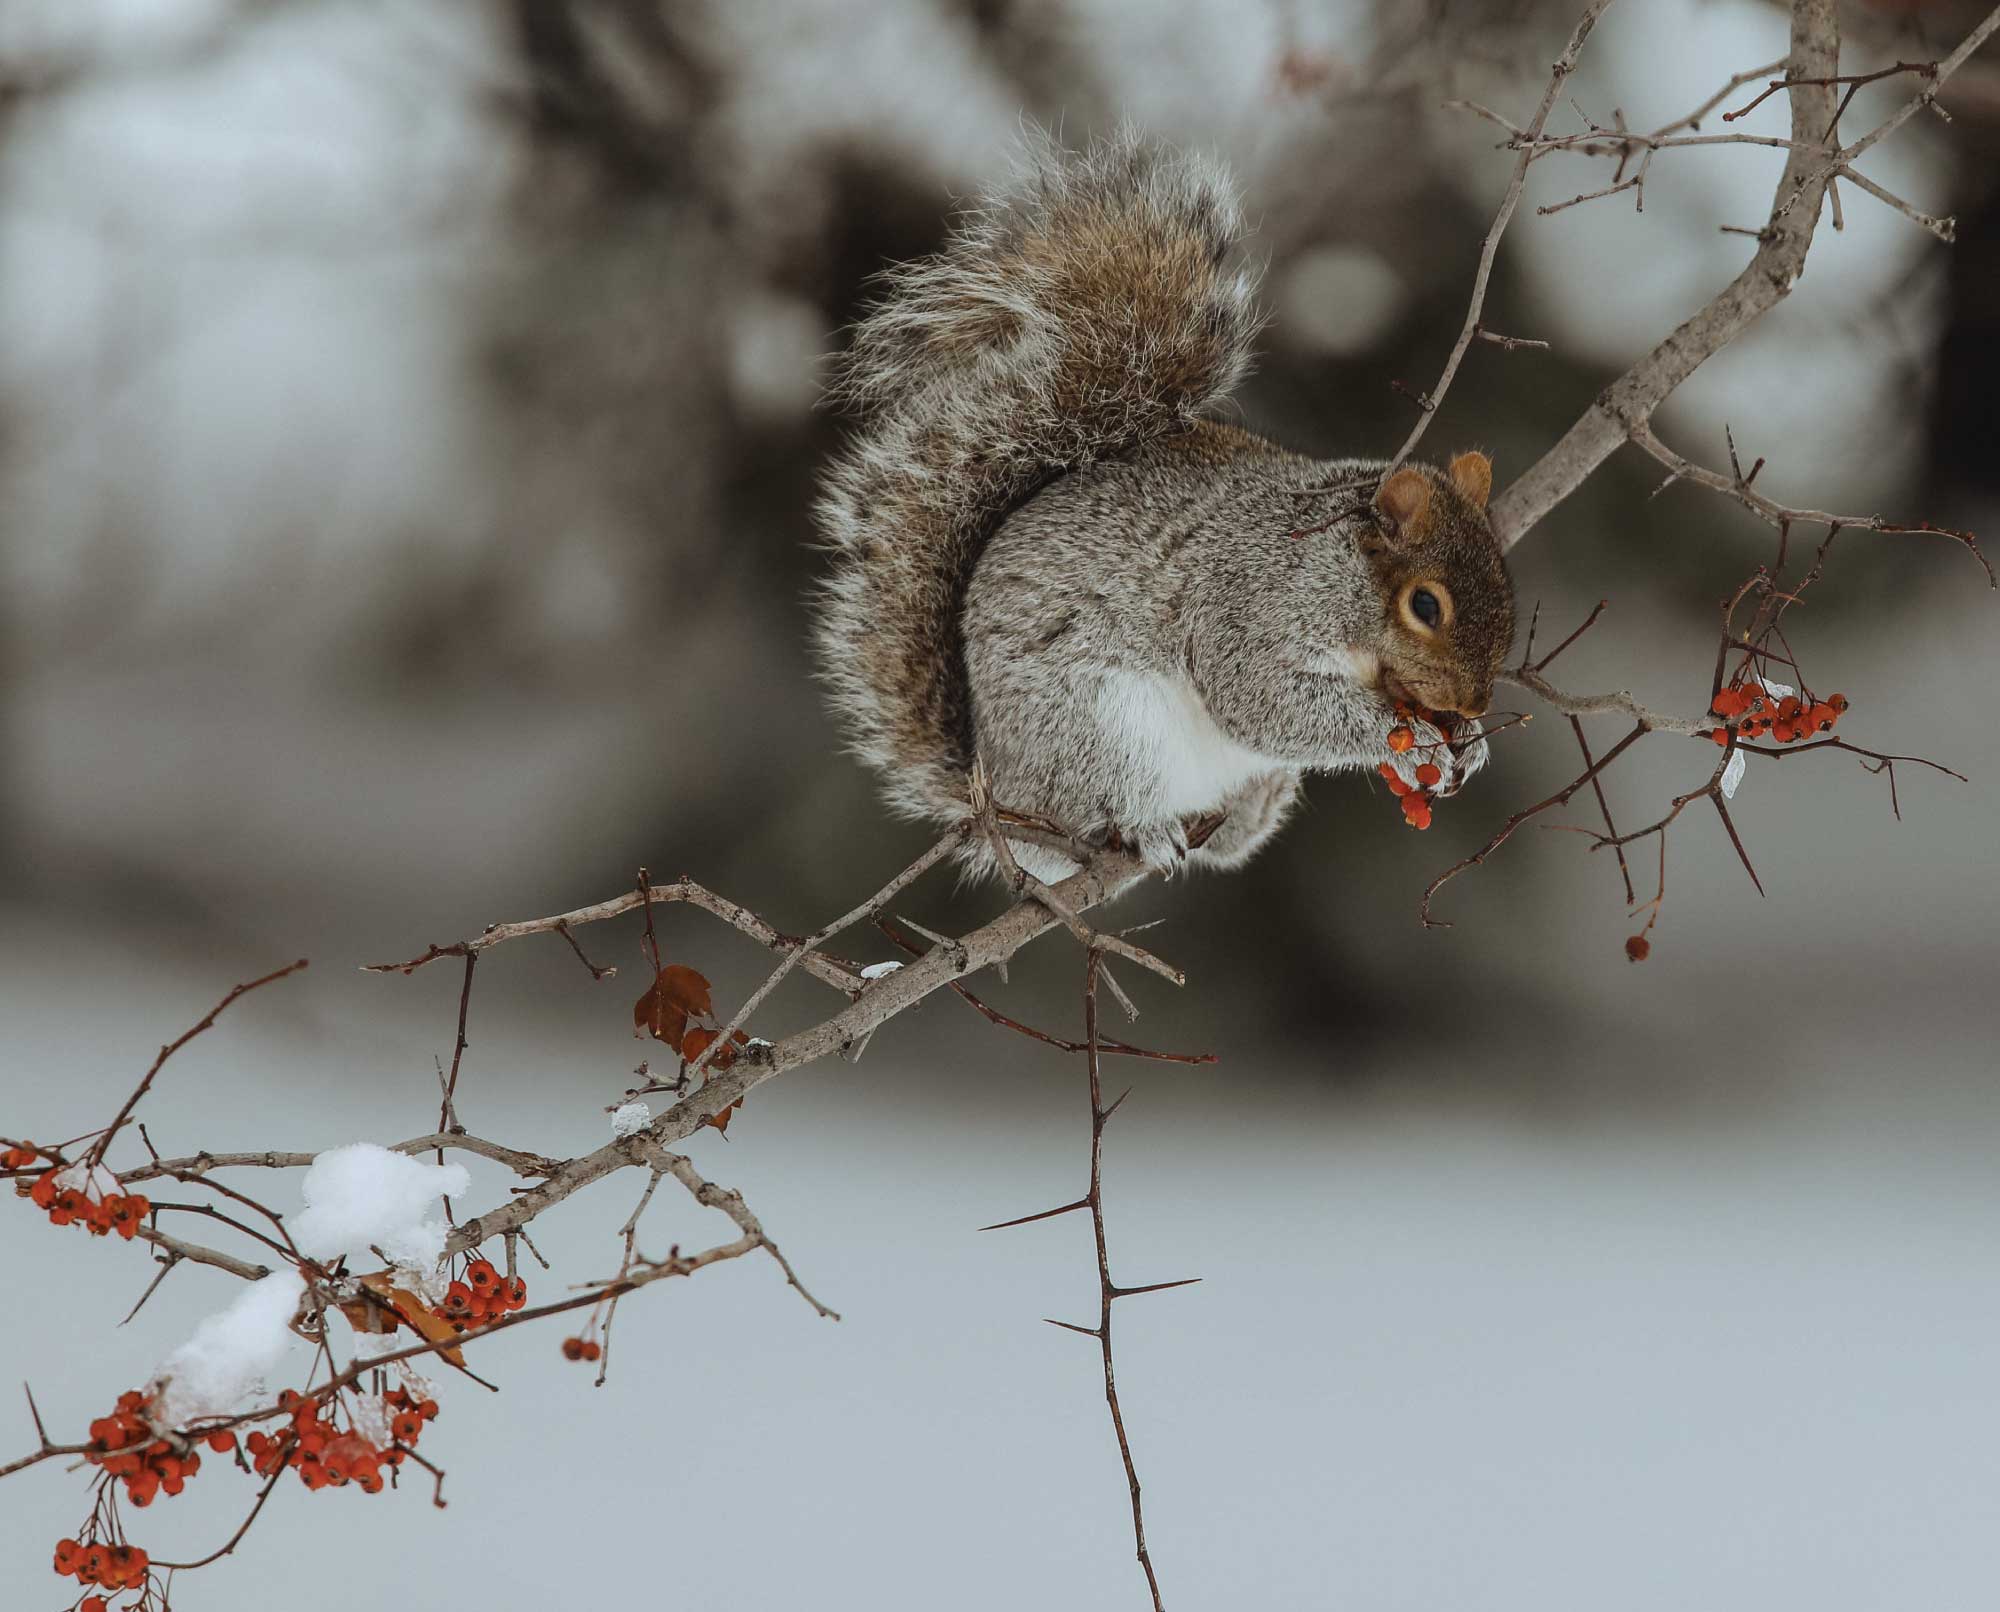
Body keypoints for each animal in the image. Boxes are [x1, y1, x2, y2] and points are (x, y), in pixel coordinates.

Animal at [813, 129, 1515, 880]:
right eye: (1425, 606)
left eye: (1507, 589)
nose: (1474, 700)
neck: (1345, 577)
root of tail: (1002, 798)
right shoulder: (1252, 603)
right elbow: (1259, 695)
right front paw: (1400, 736)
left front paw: (1470, 738)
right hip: (1098, 730)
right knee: (1099, 811)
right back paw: (1145, 828)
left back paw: (1251, 814)